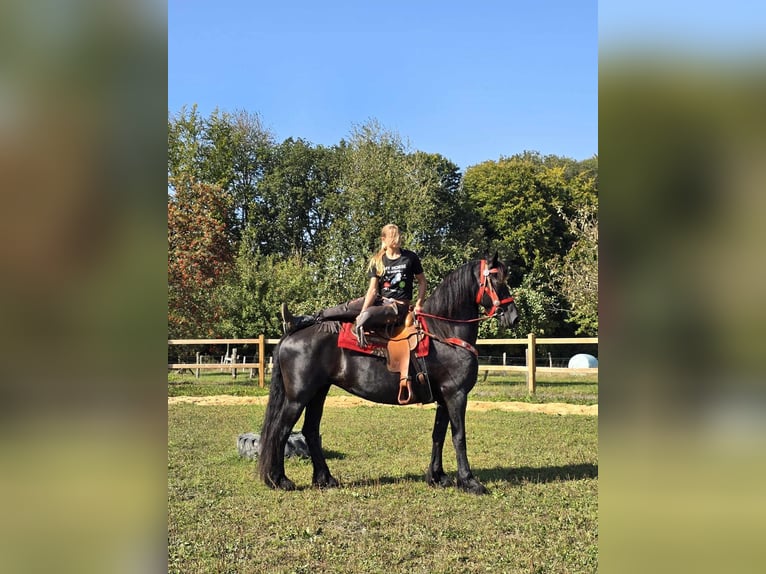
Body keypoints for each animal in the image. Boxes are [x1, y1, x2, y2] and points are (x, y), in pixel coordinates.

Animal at [260, 255, 520, 496]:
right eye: (497, 279)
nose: (513, 316)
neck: (444, 332)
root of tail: (292, 335)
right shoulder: (456, 395)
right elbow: (459, 437)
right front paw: (469, 481)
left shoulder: (444, 398)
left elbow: (438, 435)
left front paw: (437, 477)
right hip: (298, 397)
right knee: (280, 431)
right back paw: (279, 480)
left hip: (318, 392)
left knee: (311, 431)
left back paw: (325, 479)